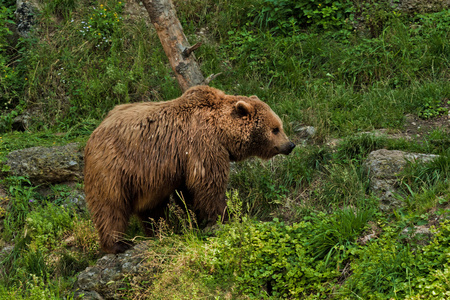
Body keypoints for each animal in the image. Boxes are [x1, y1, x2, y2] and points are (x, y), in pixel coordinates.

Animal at [84, 85, 296, 253]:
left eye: (280, 126)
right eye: (275, 129)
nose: (290, 145)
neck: (222, 132)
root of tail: (95, 133)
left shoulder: (183, 162)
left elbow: (187, 193)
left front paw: (196, 219)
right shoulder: (202, 145)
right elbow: (208, 184)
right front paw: (224, 217)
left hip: (146, 181)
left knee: (151, 208)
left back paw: (161, 231)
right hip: (115, 168)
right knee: (110, 206)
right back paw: (119, 244)